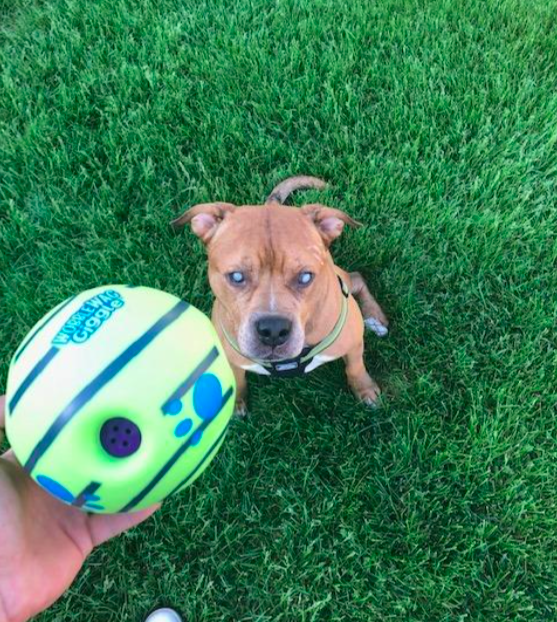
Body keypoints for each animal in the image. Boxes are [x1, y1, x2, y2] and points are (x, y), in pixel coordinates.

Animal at [172, 178, 388, 416]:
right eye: (237, 276)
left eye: (305, 277)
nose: (273, 330)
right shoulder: (231, 359)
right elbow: (238, 379)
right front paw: (236, 402)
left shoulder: (353, 341)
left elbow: (355, 366)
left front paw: (365, 389)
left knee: (357, 278)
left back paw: (375, 318)